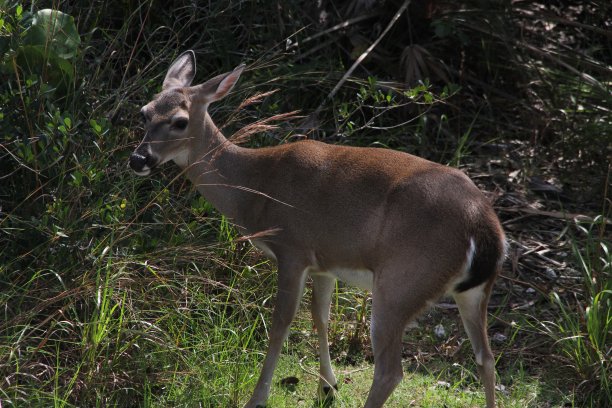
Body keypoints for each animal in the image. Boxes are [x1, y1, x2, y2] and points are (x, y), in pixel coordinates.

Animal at [128, 51, 502, 408]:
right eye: (144, 113)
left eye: (180, 121)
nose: (138, 160)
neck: (256, 185)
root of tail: (484, 227)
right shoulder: (325, 261)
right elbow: (320, 316)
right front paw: (327, 386)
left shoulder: (292, 248)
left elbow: (281, 325)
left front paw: (257, 398)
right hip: (472, 291)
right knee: (486, 358)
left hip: (402, 282)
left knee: (390, 372)